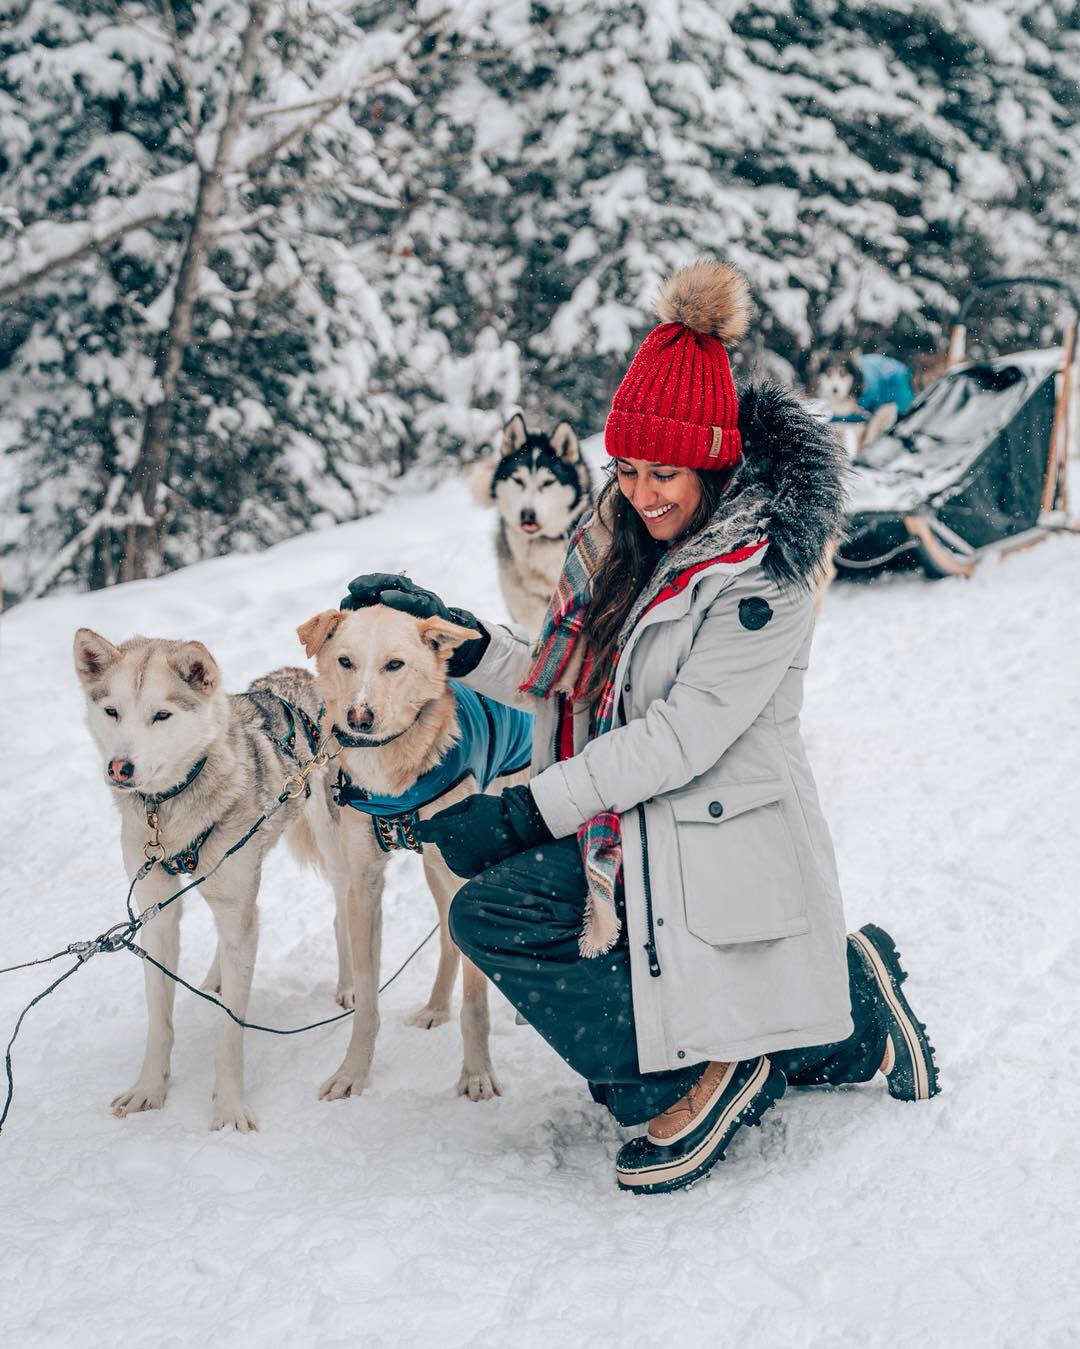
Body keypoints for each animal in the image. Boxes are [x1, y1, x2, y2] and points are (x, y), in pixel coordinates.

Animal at [74, 631, 345, 1127]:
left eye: (161, 715)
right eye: (112, 711)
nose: (120, 767)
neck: (169, 812)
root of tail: (298, 676)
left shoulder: (236, 906)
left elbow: (231, 1028)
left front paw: (230, 1107)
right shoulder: (157, 913)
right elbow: (159, 1020)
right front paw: (149, 1090)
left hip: (332, 846)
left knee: (343, 912)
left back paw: (350, 986)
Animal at [299, 607, 525, 1100]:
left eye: (394, 664)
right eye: (345, 661)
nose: (359, 717)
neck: (393, 783)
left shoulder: (464, 870)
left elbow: (475, 1004)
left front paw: (477, 1075)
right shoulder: (363, 886)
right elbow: (366, 1002)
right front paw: (353, 1073)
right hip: (433, 870)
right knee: (446, 939)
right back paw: (435, 1008)